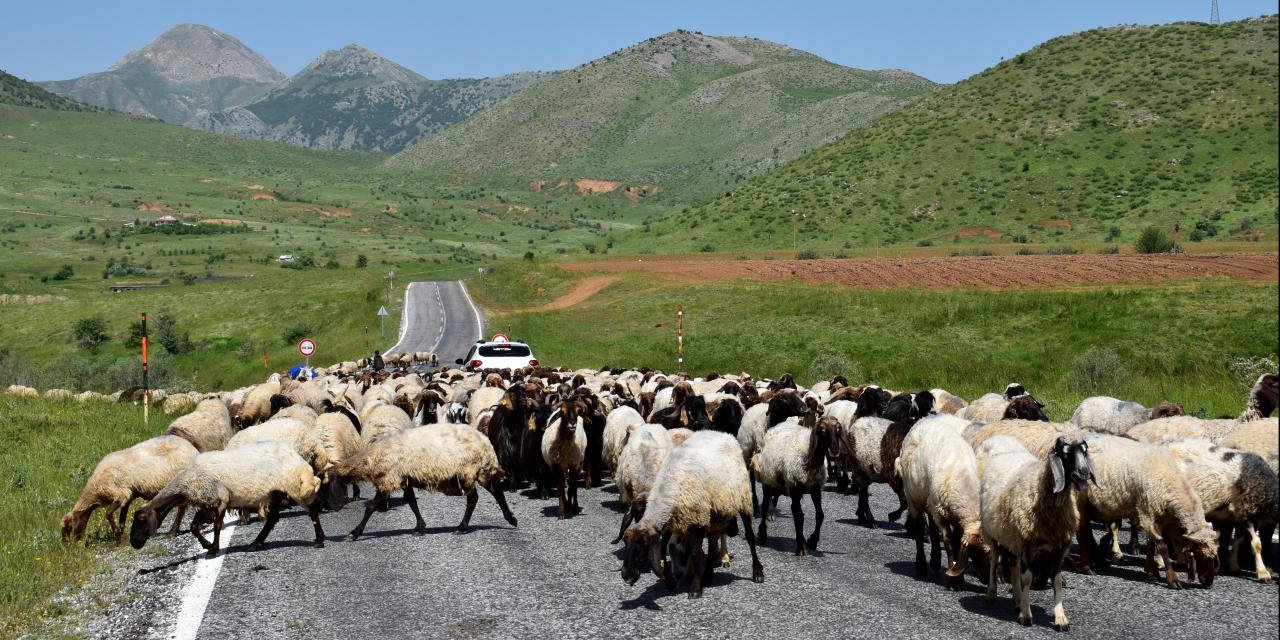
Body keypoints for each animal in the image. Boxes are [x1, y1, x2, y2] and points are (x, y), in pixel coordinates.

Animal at [60, 435, 197, 545]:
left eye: (69, 527)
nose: (70, 547)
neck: (96, 489)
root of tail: (192, 448)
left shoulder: (121, 494)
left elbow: (108, 513)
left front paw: (117, 536)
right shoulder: (128, 497)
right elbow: (122, 518)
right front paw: (121, 536)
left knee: (181, 507)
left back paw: (173, 531)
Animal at [340, 424, 524, 540]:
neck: (372, 458)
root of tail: (486, 443)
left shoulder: (389, 478)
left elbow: (371, 507)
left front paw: (355, 532)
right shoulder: (405, 478)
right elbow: (412, 502)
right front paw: (419, 527)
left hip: (468, 470)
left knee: (474, 498)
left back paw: (462, 528)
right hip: (481, 470)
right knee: (496, 490)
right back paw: (511, 518)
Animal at [616, 427, 757, 596]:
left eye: (644, 543)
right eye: (625, 542)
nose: (626, 575)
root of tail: (724, 433)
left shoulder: (698, 519)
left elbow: (695, 553)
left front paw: (695, 588)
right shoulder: (675, 522)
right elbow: (665, 550)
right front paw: (671, 580)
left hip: (743, 498)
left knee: (749, 536)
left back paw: (757, 572)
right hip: (715, 513)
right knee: (712, 542)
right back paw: (708, 574)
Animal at [752, 414, 844, 555]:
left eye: (838, 429)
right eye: (822, 429)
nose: (834, 449)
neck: (810, 458)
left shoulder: (815, 489)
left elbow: (820, 515)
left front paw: (812, 541)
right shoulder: (794, 488)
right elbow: (799, 516)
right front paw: (801, 546)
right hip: (768, 479)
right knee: (766, 504)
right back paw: (762, 533)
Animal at [896, 412, 983, 586]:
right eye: (976, 552)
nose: (986, 579)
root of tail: (923, 419)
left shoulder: (955, 517)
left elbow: (955, 542)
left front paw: (958, 579)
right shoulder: (941, 514)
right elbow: (949, 542)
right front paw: (954, 580)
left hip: (930, 501)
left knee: (932, 527)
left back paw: (935, 560)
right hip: (915, 497)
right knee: (919, 528)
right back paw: (921, 566)